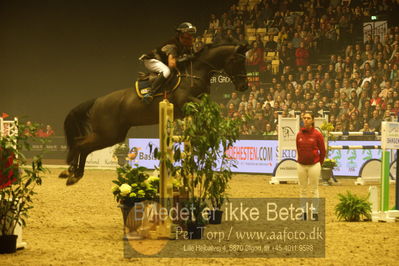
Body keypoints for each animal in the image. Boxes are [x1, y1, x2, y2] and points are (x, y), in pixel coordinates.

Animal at [60, 43, 248, 185]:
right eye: (237, 61)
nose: (244, 87)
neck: (195, 73)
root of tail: (98, 100)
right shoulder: (186, 101)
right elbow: (207, 110)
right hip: (108, 134)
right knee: (80, 144)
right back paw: (71, 172)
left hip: (113, 135)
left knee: (83, 146)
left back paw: (74, 174)